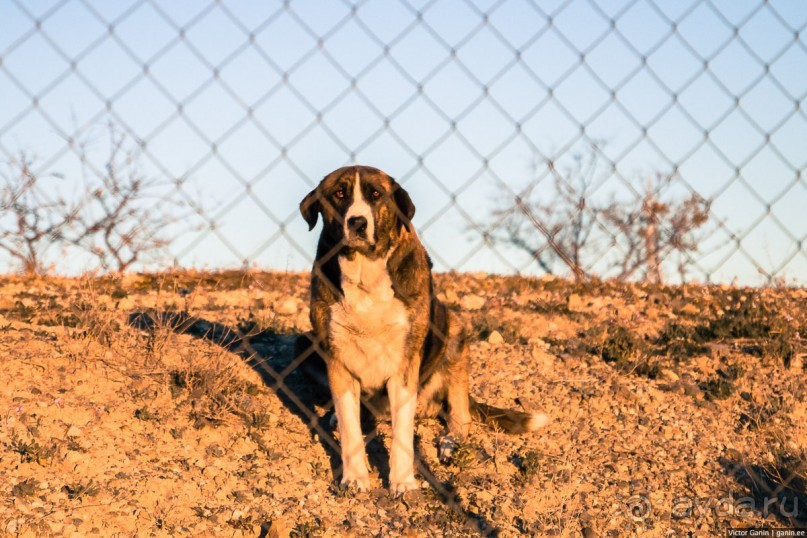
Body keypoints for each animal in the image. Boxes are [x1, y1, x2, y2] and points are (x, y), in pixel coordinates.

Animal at [296, 164, 548, 494]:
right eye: (339, 193)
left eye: (375, 194)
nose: (358, 222)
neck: (365, 273)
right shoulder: (337, 358)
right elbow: (351, 427)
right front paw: (355, 478)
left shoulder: (405, 366)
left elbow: (403, 433)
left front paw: (403, 481)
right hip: (305, 343)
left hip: (454, 335)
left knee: (461, 416)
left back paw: (450, 443)